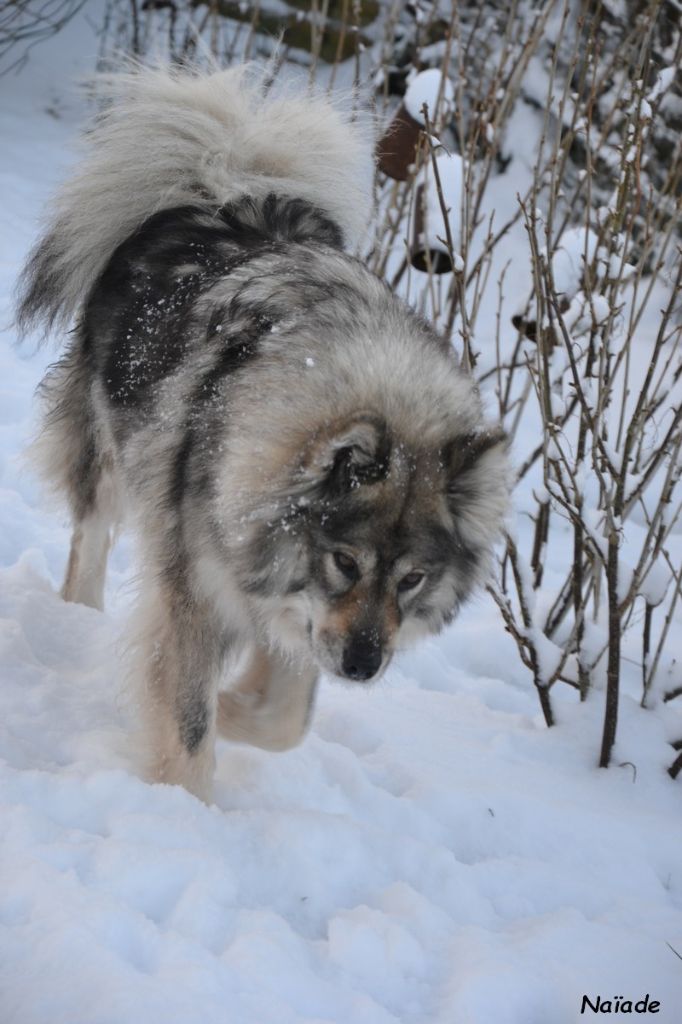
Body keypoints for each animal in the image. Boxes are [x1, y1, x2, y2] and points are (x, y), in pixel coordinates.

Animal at [15, 66, 507, 798]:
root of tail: (223, 194)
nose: (363, 668)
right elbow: (191, 722)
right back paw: (79, 615)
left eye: (413, 580)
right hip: (109, 454)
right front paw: (186, 803)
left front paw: (236, 707)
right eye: (346, 563)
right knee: (90, 537)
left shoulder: (295, 611)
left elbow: (285, 719)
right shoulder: (200, 594)